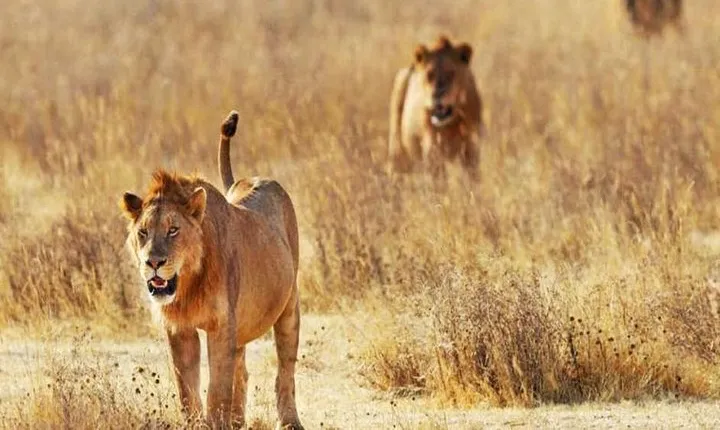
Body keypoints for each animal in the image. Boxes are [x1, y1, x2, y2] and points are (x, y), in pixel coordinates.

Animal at [120, 111, 303, 430]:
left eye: (173, 230)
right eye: (143, 232)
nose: (153, 262)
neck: (189, 284)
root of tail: (249, 179)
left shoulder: (221, 326)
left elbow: (217, 390)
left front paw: (216, 421)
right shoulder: (179, 329)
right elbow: (187, 390)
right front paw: (196, 423)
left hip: (289, 308)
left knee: (285, 370)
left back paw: (290, 420)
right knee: (242, 370)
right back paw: (238, 420)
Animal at [388, 35, 484, 178]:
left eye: (451, 73)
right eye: (429, 75)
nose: (436, 95)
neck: (451, 122)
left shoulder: (472, 147)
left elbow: (472, 176)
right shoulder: (433, 149)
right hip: (397, 153)